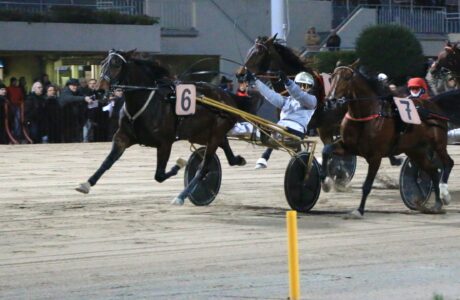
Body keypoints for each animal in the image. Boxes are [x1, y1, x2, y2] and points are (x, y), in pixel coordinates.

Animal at [77, 49, 246, 206]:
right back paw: (238, 160)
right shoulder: (123, 136)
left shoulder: (165, 143)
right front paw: (86, 184)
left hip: (214, 135)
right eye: (102, 63)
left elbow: (159, 175)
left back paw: (181, 196)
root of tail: (227, 97)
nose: (99, 91)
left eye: (116, 64)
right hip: (201, 134)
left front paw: (179, 164)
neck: (146, 101)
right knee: (224, 146)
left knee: (203, 168)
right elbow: (108, 161)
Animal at [322, 61, 454, 217]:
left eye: (347, 78)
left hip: (438, 144)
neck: (365, 116)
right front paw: (325, 182)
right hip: (416, 151)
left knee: (448, 163)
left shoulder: (375, 156)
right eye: (331, 78)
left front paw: (359, 210)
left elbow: (367, 185)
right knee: (433, 171)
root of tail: (435, 106)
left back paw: (444, 194)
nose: (330, 101)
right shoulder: (348, 147)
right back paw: (437, 203)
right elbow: (326, 150)